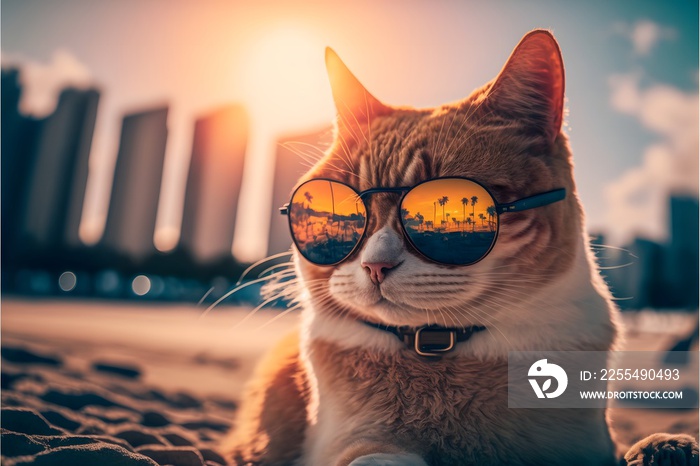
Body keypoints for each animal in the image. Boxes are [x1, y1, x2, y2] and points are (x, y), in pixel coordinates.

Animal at [221, 30, 696, 466]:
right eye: (354, 209)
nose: (375, 265)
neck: (444, 351)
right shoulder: (351, 446)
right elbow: (378, 457)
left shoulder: (587, 447)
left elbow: (633, 449)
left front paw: (666, 447)